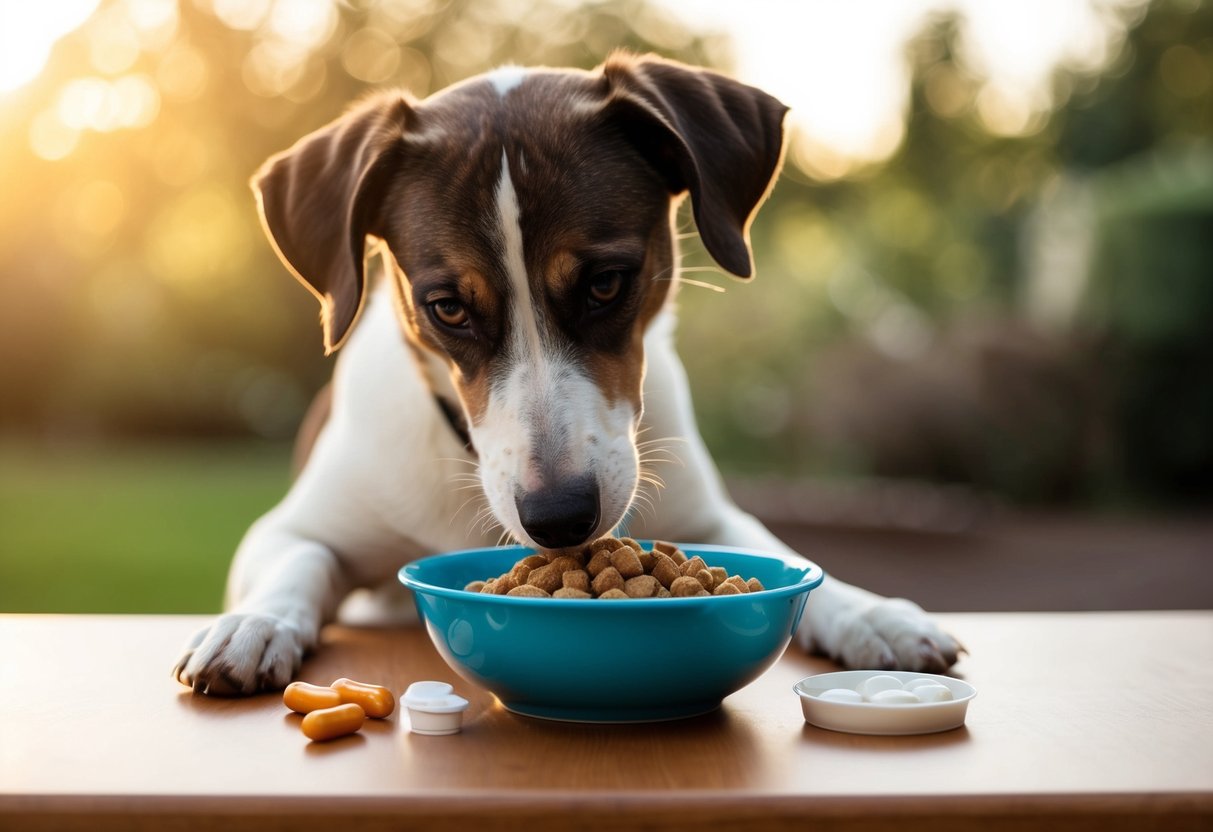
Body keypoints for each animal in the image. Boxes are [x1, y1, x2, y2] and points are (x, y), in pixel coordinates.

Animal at [175, 48, 960, 693]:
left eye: (606, 283)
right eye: (447, 307)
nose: (558, 518)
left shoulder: (709, 518)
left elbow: (782, 556)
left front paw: (871, 612)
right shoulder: (298, 526)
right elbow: (294, 560)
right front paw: (253, 624)